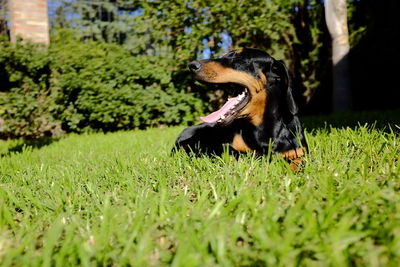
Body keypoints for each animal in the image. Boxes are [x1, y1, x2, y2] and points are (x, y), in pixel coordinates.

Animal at [173, 48, 308, 171]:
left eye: (239, 58)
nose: (192, 65)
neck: (263, 129)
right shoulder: (225, 146)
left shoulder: (299, 152)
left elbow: (298, 162)